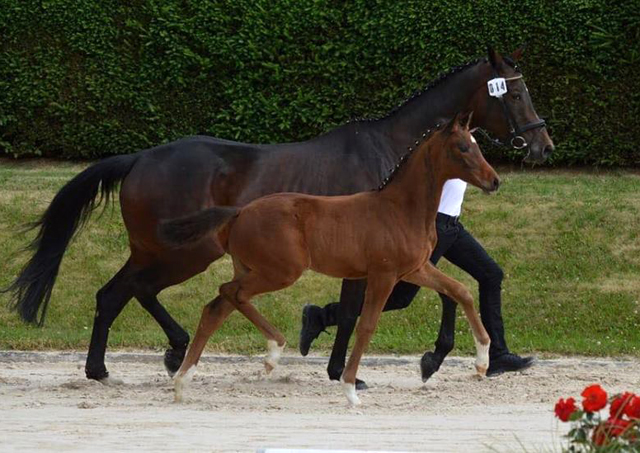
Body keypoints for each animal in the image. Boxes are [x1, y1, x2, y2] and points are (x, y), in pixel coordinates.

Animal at [160, 112, 500, 402]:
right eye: (462, 147)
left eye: (477, 144)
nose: (494, 181)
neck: (400, 209)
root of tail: (239, 212)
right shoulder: (383, 275)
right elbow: (366, 325)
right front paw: (350, 388)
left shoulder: (415, 269)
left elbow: (461, 290)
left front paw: (483, 360)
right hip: (281, 272)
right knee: (229, 293)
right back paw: (271, 351)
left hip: (250, 268)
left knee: (217, 308)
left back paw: (186, 381)